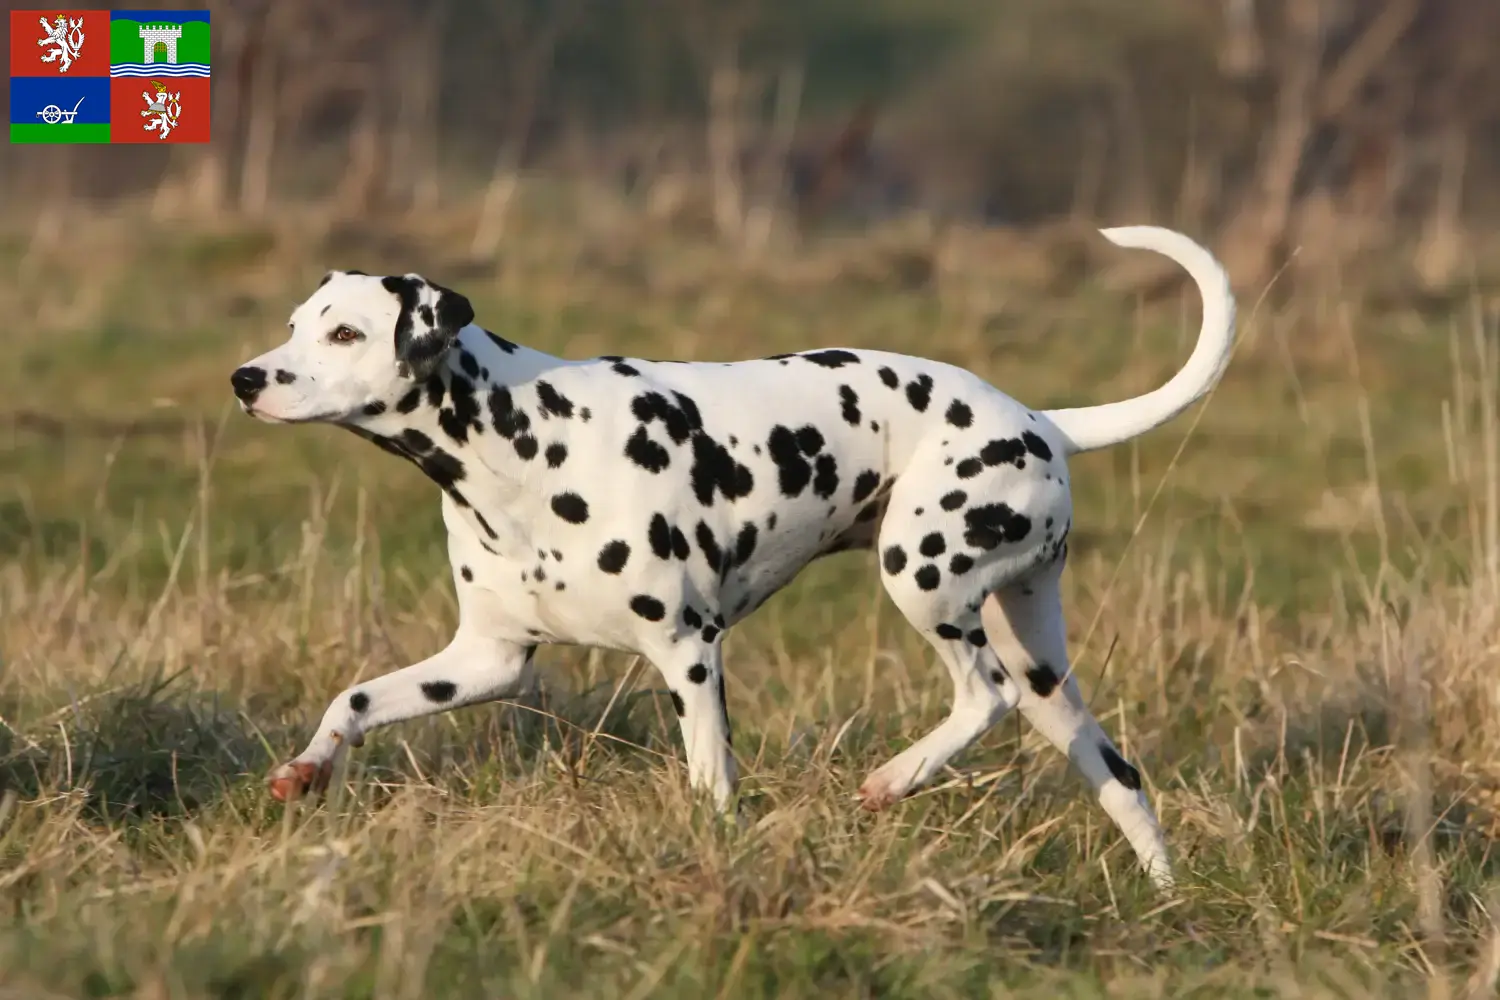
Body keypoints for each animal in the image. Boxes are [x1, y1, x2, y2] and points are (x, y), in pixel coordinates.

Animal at [231, 224, 1242, 893]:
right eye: (295, 323)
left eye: (348, 334)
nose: (246, 378)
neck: (525, 441)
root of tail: (1041, 422)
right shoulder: (486, 661)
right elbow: (355, 699)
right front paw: (306, 770)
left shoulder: (689, 653)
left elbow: (711, 781)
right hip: (1043, 670)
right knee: (1118, 776)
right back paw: (1164, 897)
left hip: (922, 580)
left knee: (978, 696)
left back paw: (893, 781)